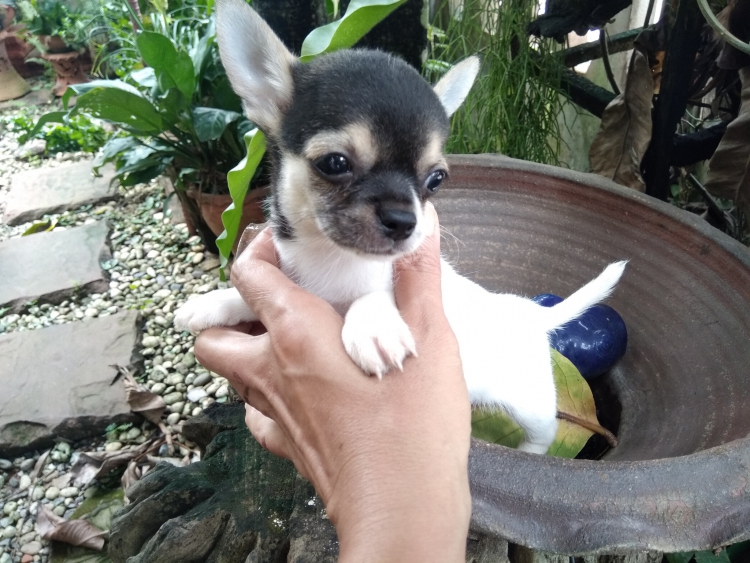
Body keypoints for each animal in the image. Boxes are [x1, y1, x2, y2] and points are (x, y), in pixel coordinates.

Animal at [174, 0, 626, 454]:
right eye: (334, 163)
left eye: (436, 180)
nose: (404, 220)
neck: (332, 260)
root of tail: (532, 314)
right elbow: (249, 298)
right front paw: (215, 301)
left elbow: (375, 294)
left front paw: (372, 326)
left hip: (531, 405)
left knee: (543, 435)